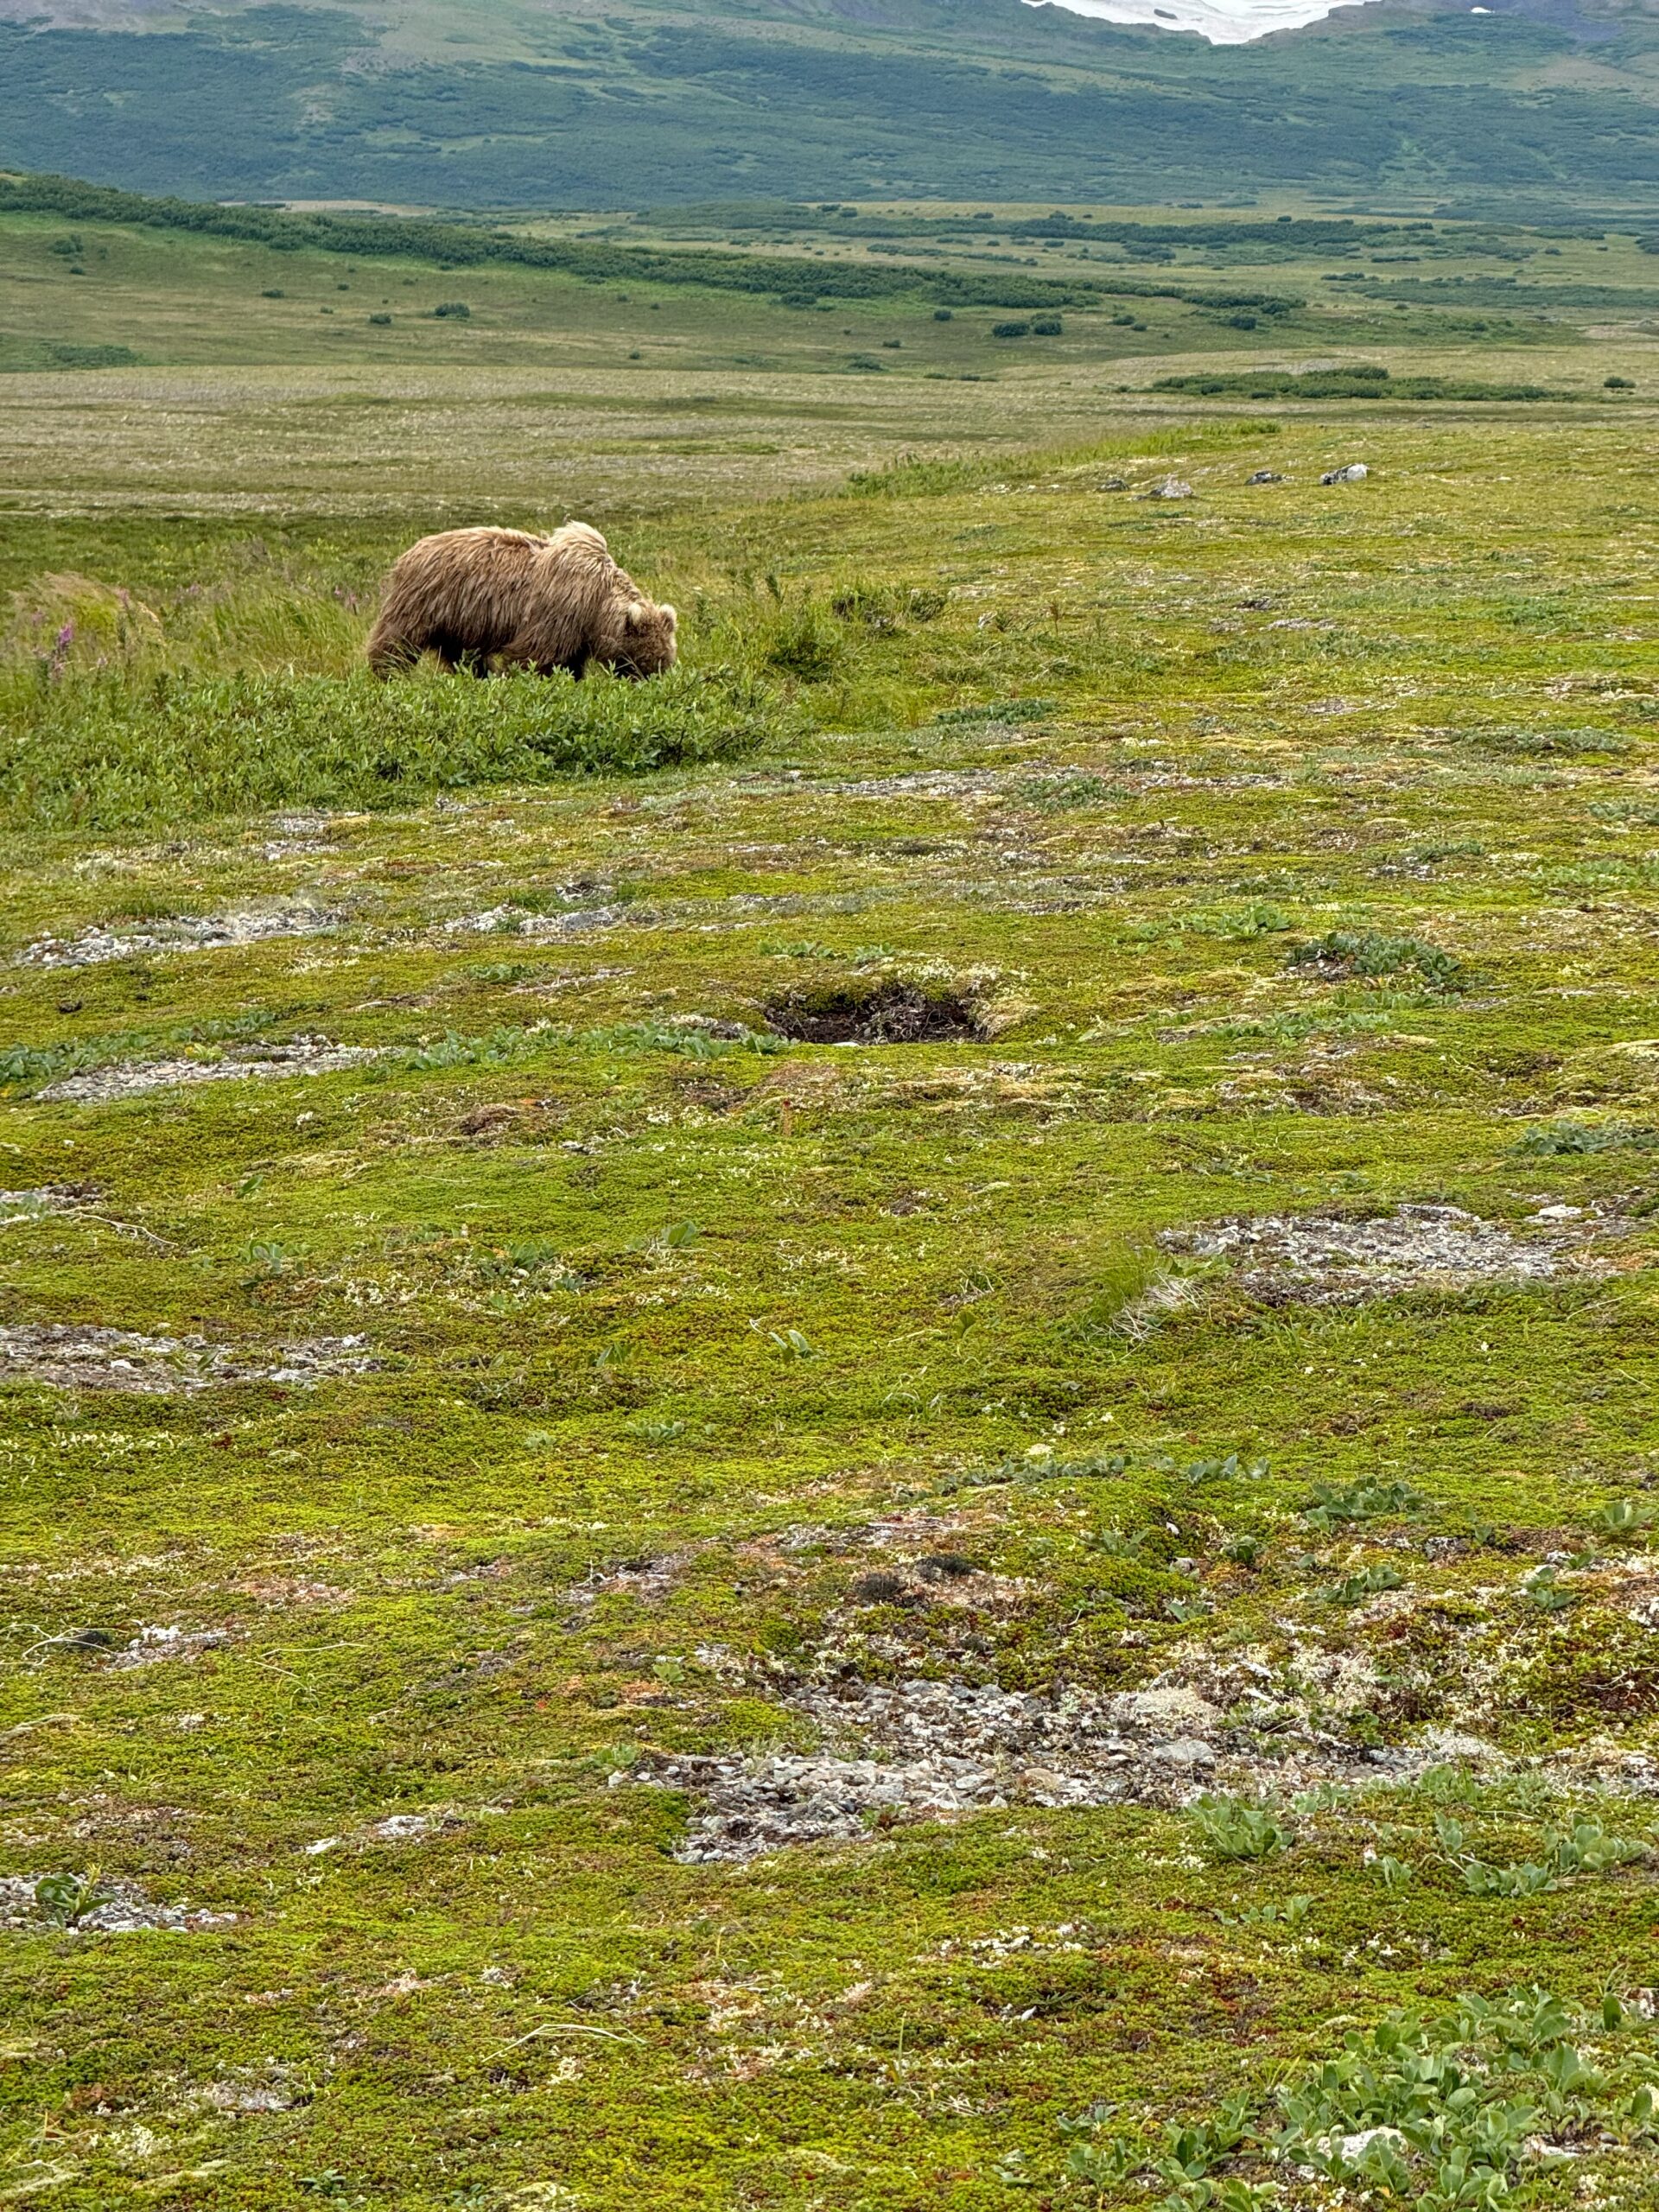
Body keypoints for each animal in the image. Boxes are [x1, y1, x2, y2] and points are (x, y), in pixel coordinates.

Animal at [362, 522, 677, 677]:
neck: (596, 606)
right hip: (425, 600)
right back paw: (388, 674)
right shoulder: (558, 613)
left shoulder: (576, 631)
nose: (654, 681)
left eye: (666, 659)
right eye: (645, 659)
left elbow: (570, 664)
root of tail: (410, 551)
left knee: (462, 654)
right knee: (396, 641)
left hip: (460, 621)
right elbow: (535, 657)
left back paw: (478, 674)